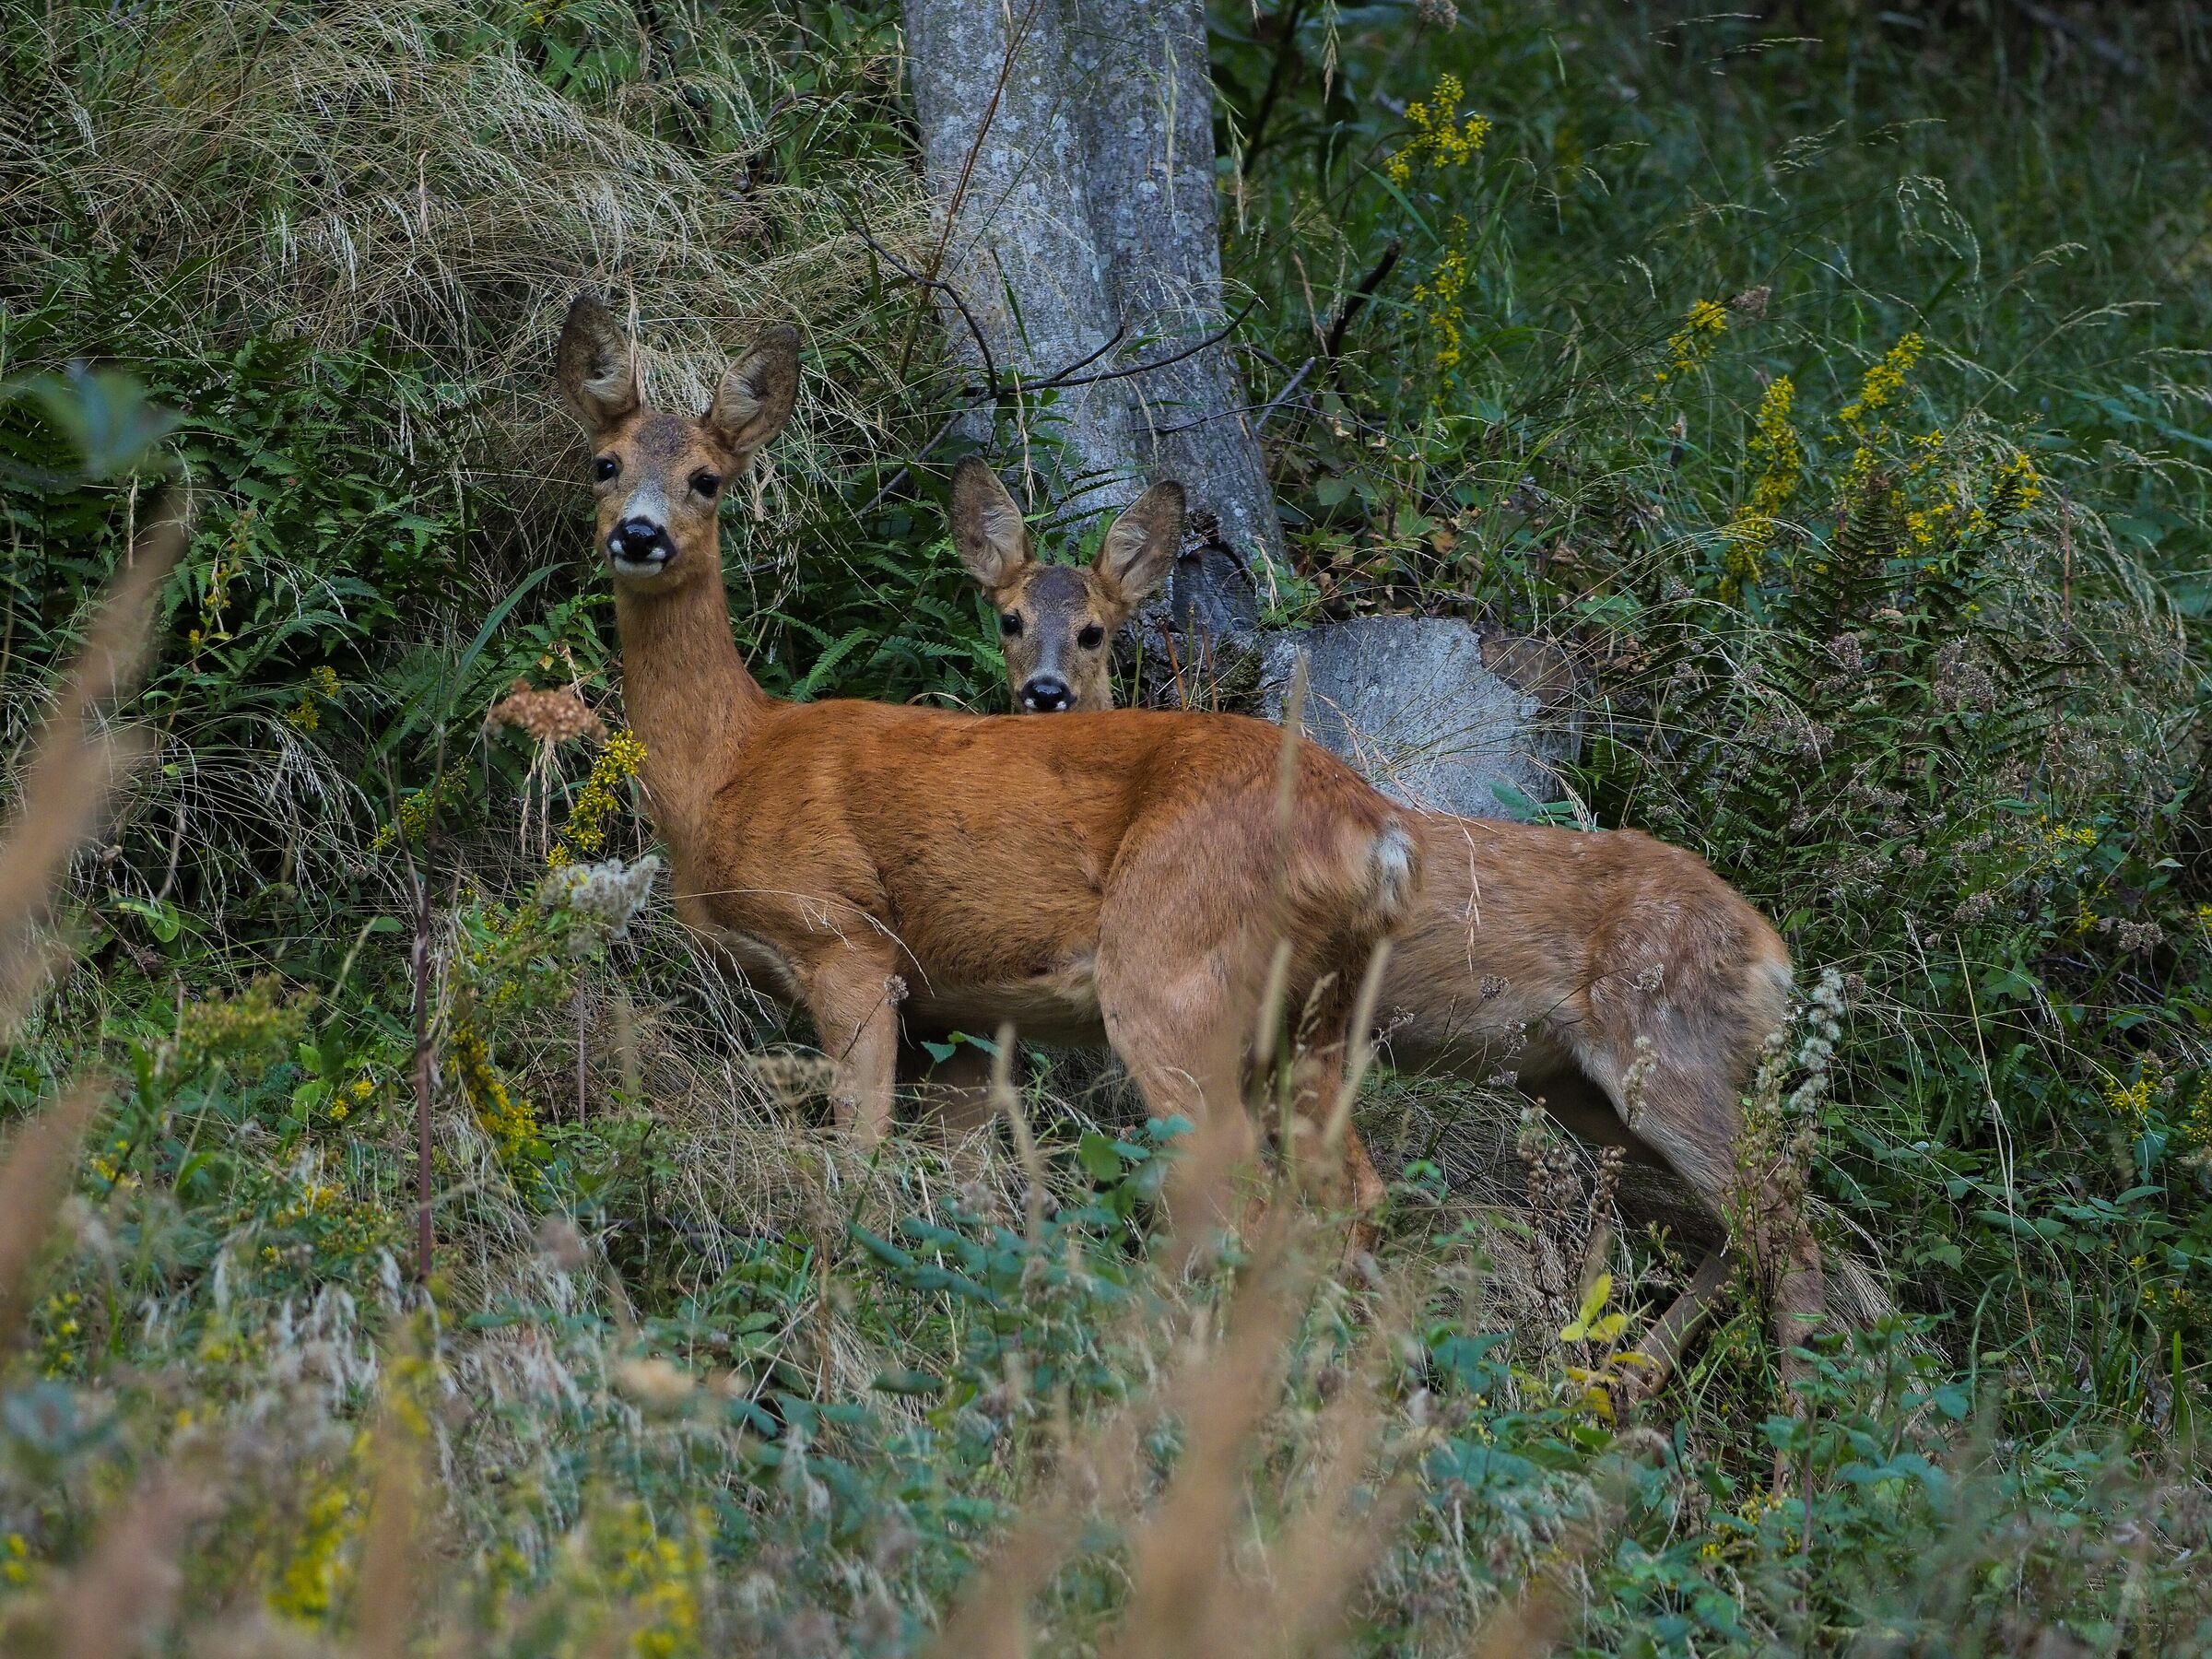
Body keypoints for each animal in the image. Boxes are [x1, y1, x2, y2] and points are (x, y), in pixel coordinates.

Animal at [552, 294, 1419, 1220]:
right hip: (1321, 1008)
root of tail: (1378, 835)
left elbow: (860, 1159)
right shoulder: (954, 1010)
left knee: (1244, 1196)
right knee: (1353, 1193)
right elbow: (967, 1186)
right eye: (605, 464)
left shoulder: (845, 936)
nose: (640, 534)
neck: (726, 766)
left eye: (707, 479)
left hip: (1176, 968)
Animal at [955, 480, 1824, 1401]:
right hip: (1577, 1086)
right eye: (1009, 618)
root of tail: (1774, 958)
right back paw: (1628, 1379)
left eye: (1094, 629)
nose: (1045, 691)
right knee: (1740, 1228)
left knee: (1791, 1231)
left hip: (1670, 1055)